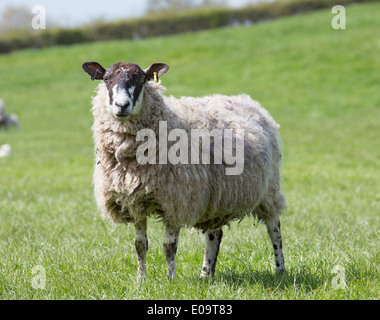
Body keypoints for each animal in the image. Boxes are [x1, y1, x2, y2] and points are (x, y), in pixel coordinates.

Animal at [81, 61, 286, 278]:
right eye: (106, 78)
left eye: (142, 79)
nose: (122, 106)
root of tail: (247, 101)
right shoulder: (135, 201)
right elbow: (140, 245)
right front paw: (141, 278)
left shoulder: (177, 200)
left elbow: (169, 246)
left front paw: (170, 279)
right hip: (216, 197)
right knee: (214, 234)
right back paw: (206, 274)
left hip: (270, 190)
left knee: (274, 230)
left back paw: (280, 269)